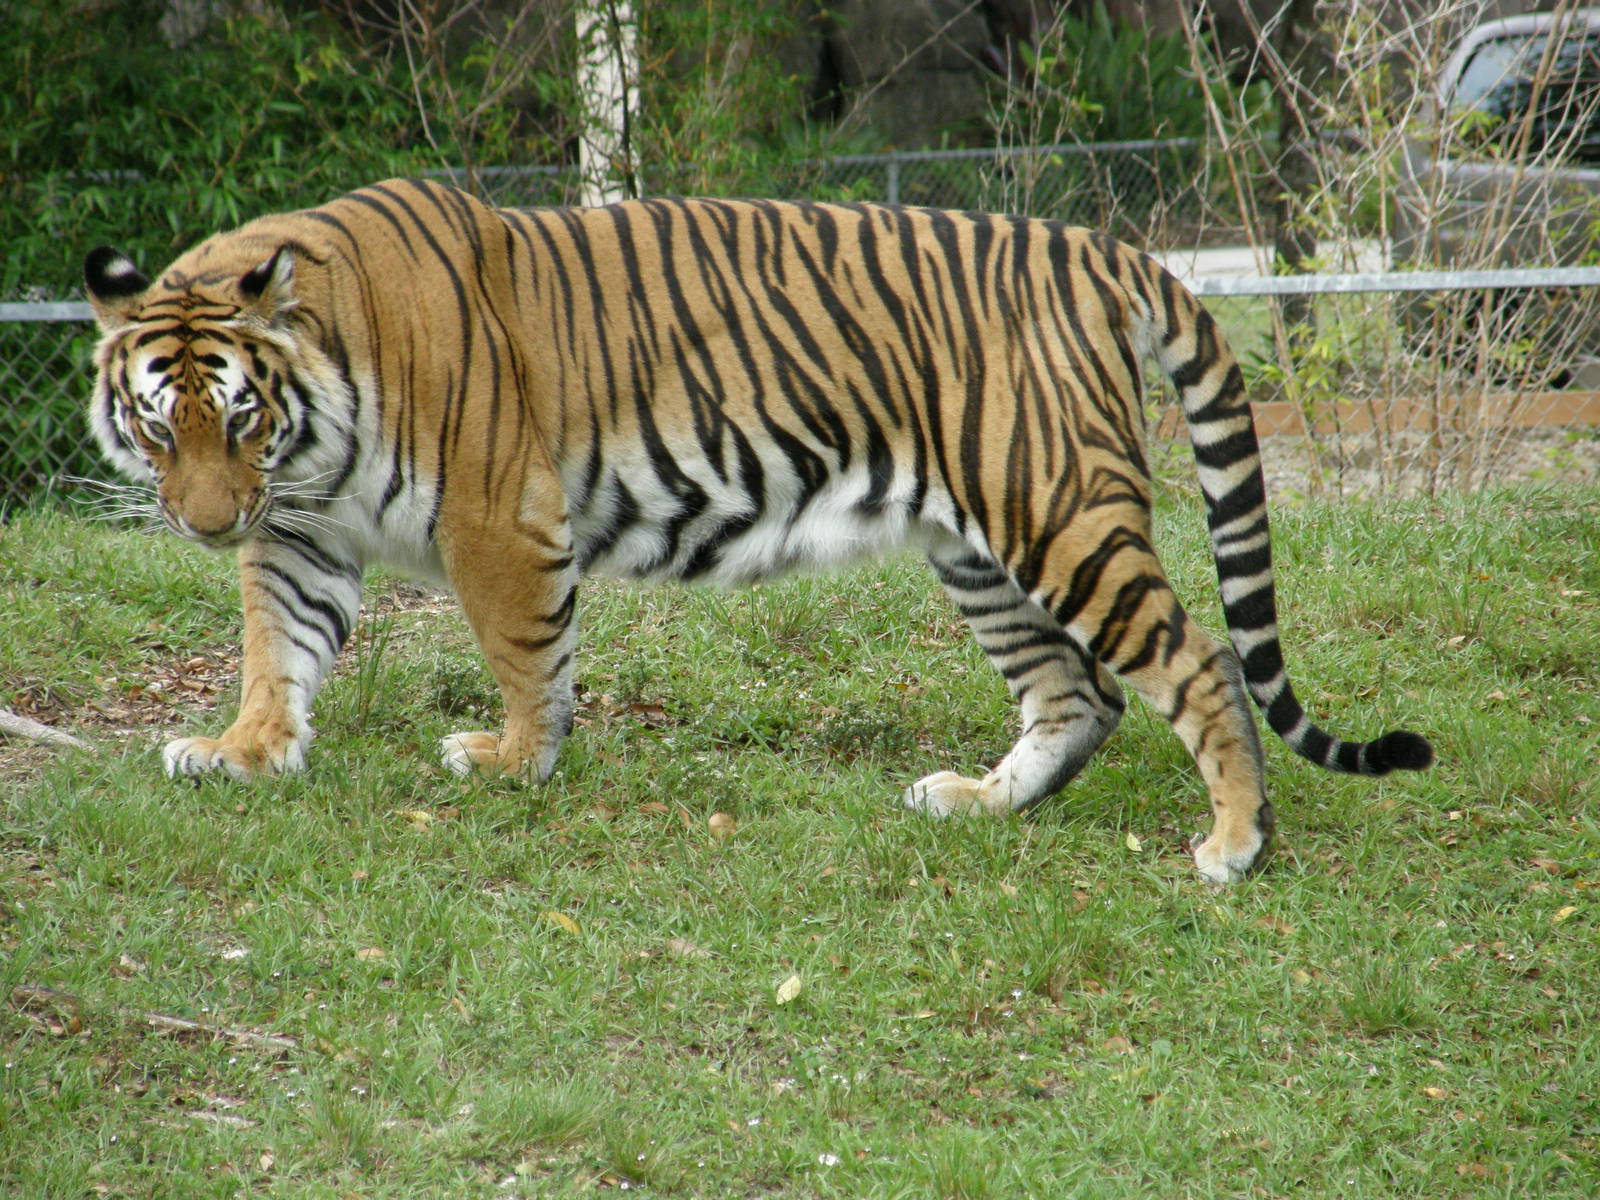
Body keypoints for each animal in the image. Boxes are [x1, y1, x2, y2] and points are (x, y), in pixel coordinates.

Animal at [83, 177, 1432, 884]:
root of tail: (1100, 250)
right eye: (161, 424)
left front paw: (513, 763)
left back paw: (1233, 844)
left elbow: (524, 656)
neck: (313, 435)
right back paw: (978, 803)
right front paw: (245, 751)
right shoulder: (299, 534)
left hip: (1054, 509)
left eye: (239, 415)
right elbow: (278, 648)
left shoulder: (493, 514)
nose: (205, 524)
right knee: (1078, 695)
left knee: (1196, 661)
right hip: (980, 550)